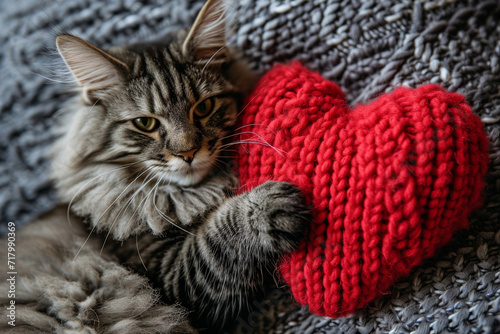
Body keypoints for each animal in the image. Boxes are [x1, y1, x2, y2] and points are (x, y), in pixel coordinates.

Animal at [0, 0, 310, 332]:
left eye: (203, 108)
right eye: (145, 123)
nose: (188, 152)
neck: (183, 197)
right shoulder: (172, 276)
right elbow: (218, 238)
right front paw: (270, 205)